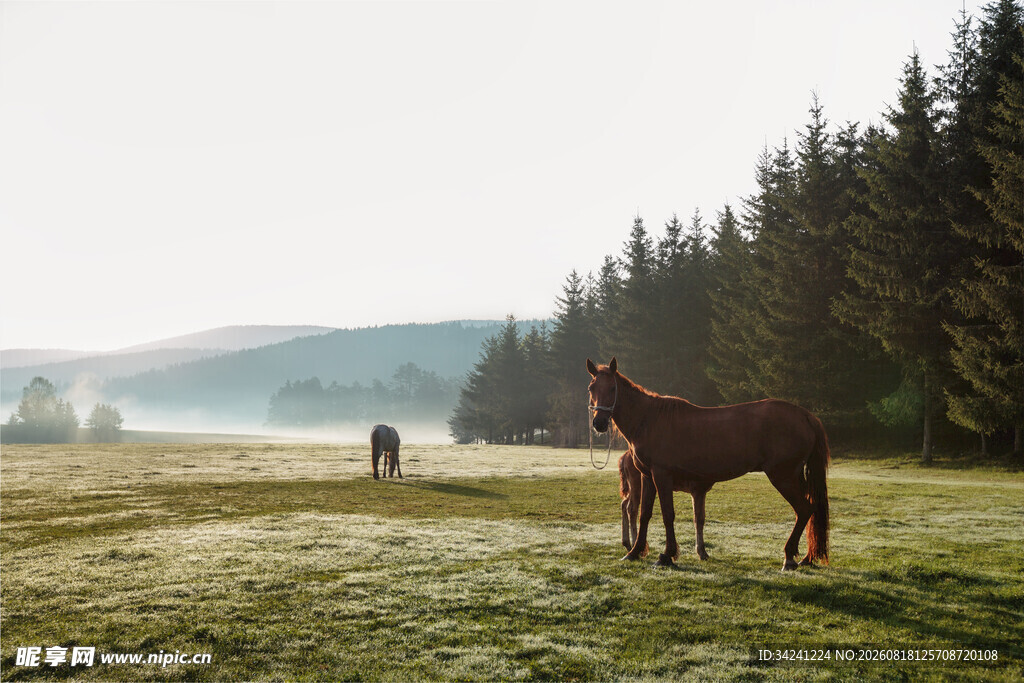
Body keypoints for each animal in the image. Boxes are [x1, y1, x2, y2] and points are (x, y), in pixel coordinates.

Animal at [589, 357, 829, 571]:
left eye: (612, 388)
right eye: (592, 387)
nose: (599, 423)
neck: (649, 419)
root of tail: (806, 415)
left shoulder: (662, 475)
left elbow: (668, 514)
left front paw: (666, 555)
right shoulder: (648, 476)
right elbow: (644, 513)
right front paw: (634, 552)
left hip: (783, 476)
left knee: (803, 509)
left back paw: (789, 557)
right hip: (795, 476)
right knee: (808, 510)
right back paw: (805, 557)